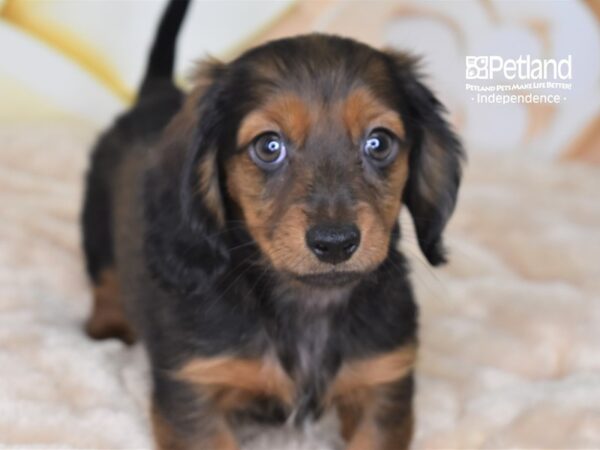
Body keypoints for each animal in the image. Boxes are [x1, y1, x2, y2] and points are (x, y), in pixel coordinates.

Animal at [81, 1, 464, 448]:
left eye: (379, 142)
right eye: (268, 146)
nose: (335, 242)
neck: (306, 305)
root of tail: (155, 93)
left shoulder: (383, 384)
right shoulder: (196, 393)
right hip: (96, 226)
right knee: (105, 278)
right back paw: (107, 326)